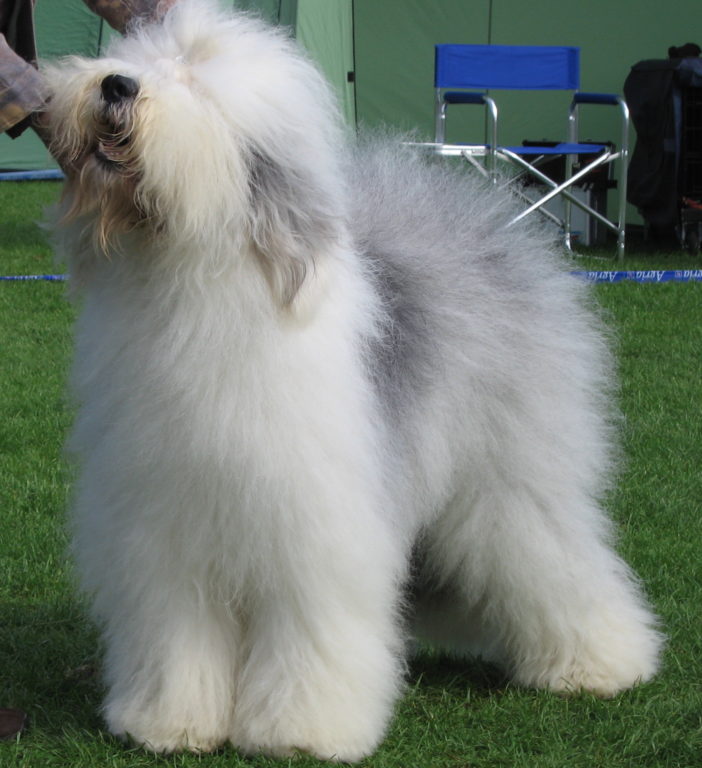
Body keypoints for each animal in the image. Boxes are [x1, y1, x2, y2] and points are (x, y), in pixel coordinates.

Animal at [46, 0, 664, 756]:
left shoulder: (315, 524)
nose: (115, 85)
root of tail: (487, 225)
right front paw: (172, 723)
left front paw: (301, 729)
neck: (187, 282)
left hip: (509, 478)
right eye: (143, 59)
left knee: (558, 559)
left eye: (193, 80)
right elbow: (176, 630)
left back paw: (601, 665)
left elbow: (311, 629)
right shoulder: (164, 528)